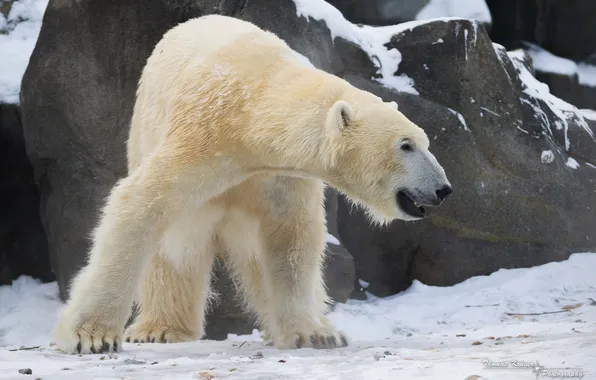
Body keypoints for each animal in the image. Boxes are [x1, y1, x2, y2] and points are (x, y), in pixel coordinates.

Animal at [52, 14, 452, 354]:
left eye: (425, 142)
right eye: (406, 145)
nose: (443, 189)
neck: (253, 107)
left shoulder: (280, 173)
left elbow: (289, 238)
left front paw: (314, 333)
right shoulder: (201, 137)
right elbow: (142, 205)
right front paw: (91, 336)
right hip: (144, 129)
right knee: (179, 242)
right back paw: (162, 328)